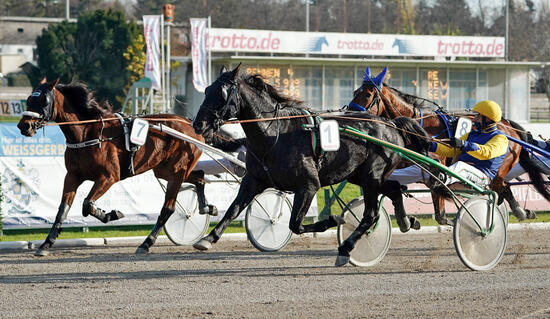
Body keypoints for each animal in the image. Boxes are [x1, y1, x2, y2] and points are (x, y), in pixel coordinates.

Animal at [15, 80, 231, 258]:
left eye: (43, 100)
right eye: (29, 99)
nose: (24, 126)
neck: (88, 133)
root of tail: (191, 124)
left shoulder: (109, 177)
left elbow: (87, 204)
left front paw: (112, 214)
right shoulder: (72, 176)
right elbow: (62, 211)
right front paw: (46, 244)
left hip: (177, 170)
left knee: (168, 208)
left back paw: (146, 243)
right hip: (166, 170)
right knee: (200, 177)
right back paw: (207, 207)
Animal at [192, 63, 438, 266]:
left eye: (222, 93)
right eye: (206, 90)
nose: (198, 124)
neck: (275, 134)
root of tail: (391, 124)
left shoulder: (309, 185)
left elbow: (295, 224)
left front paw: (333, 219)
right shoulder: (253, 180)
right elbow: (233, 209)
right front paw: (208, 238)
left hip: (372, 176)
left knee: (371, 215)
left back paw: (346, 248)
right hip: (361, 176)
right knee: (394, 188)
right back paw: (406, 220)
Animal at [350, 66, 550, 225]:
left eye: (367, 94)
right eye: (354, 93)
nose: (350, 113)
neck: (419, 124)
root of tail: (507, 125)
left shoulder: (434, 163)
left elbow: (437, 191)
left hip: (502, 164)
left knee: (500, 185)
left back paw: (518, 210)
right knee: (503, 187)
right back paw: (519, 210)